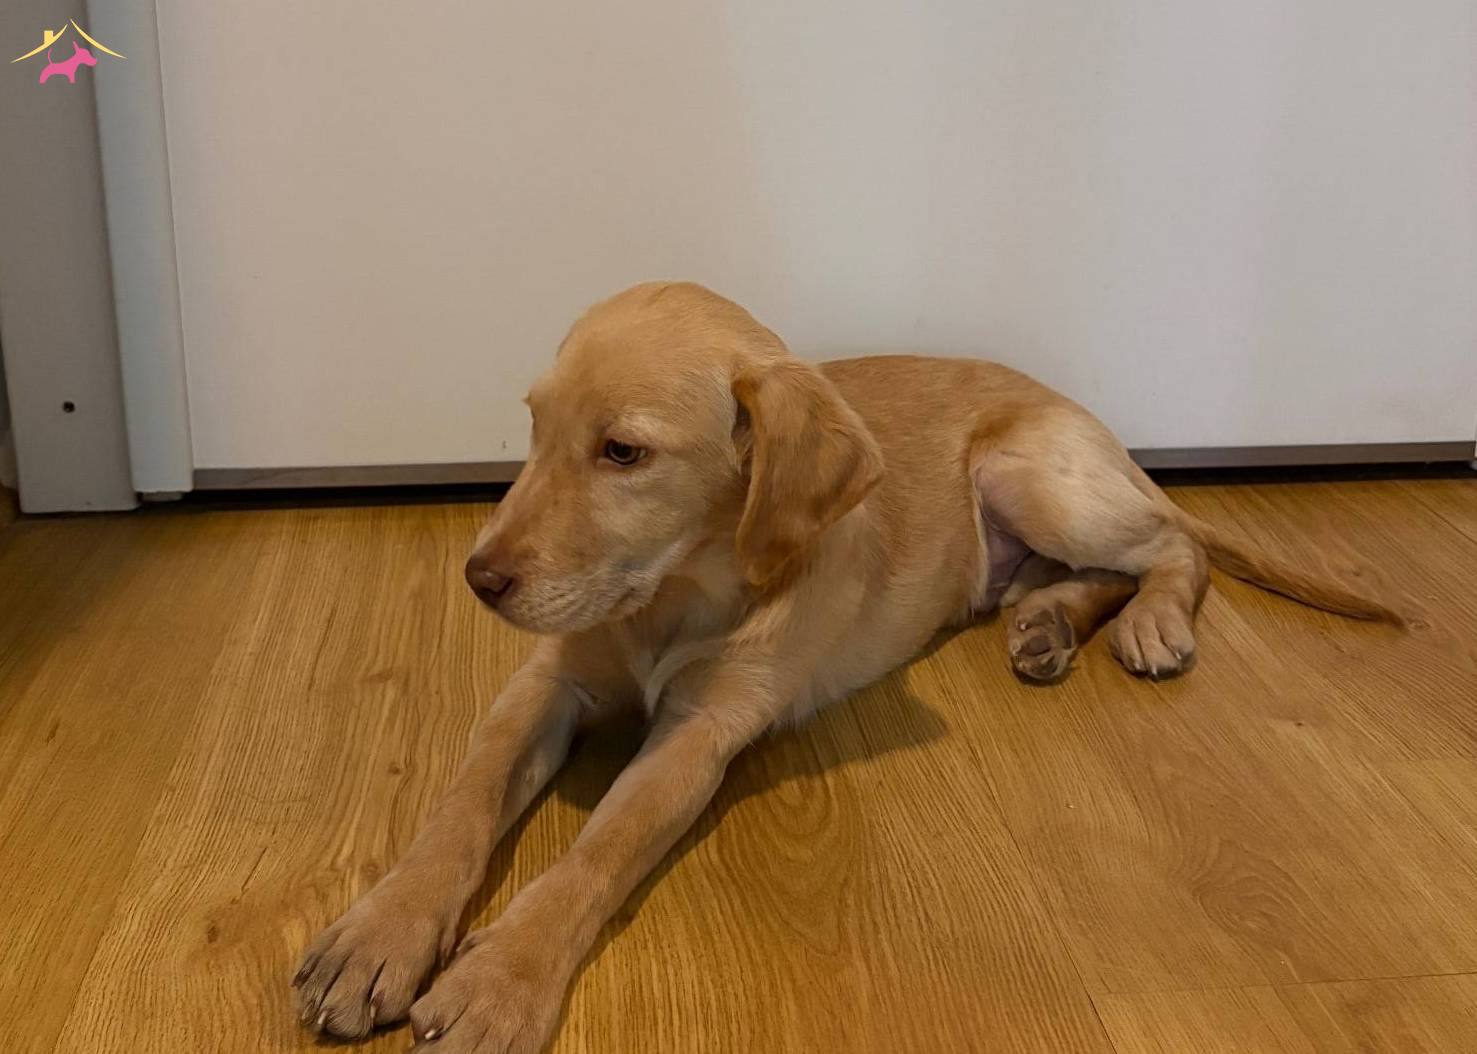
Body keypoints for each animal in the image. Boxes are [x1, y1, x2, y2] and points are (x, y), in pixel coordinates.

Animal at [294, 282, 1403, 1052]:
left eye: (623, 453)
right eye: (534, 429)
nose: (478, 579)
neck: (678, 588)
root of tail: (1108, 439)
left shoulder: (703, 730)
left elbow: (599, 850)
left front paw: (499, 979)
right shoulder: (548, 680)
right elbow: (462, 800)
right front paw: (379, 934)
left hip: (1035, 476)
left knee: (1175, 546)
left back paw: (1151, 623)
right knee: (1084, 572)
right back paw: (1046, 624)